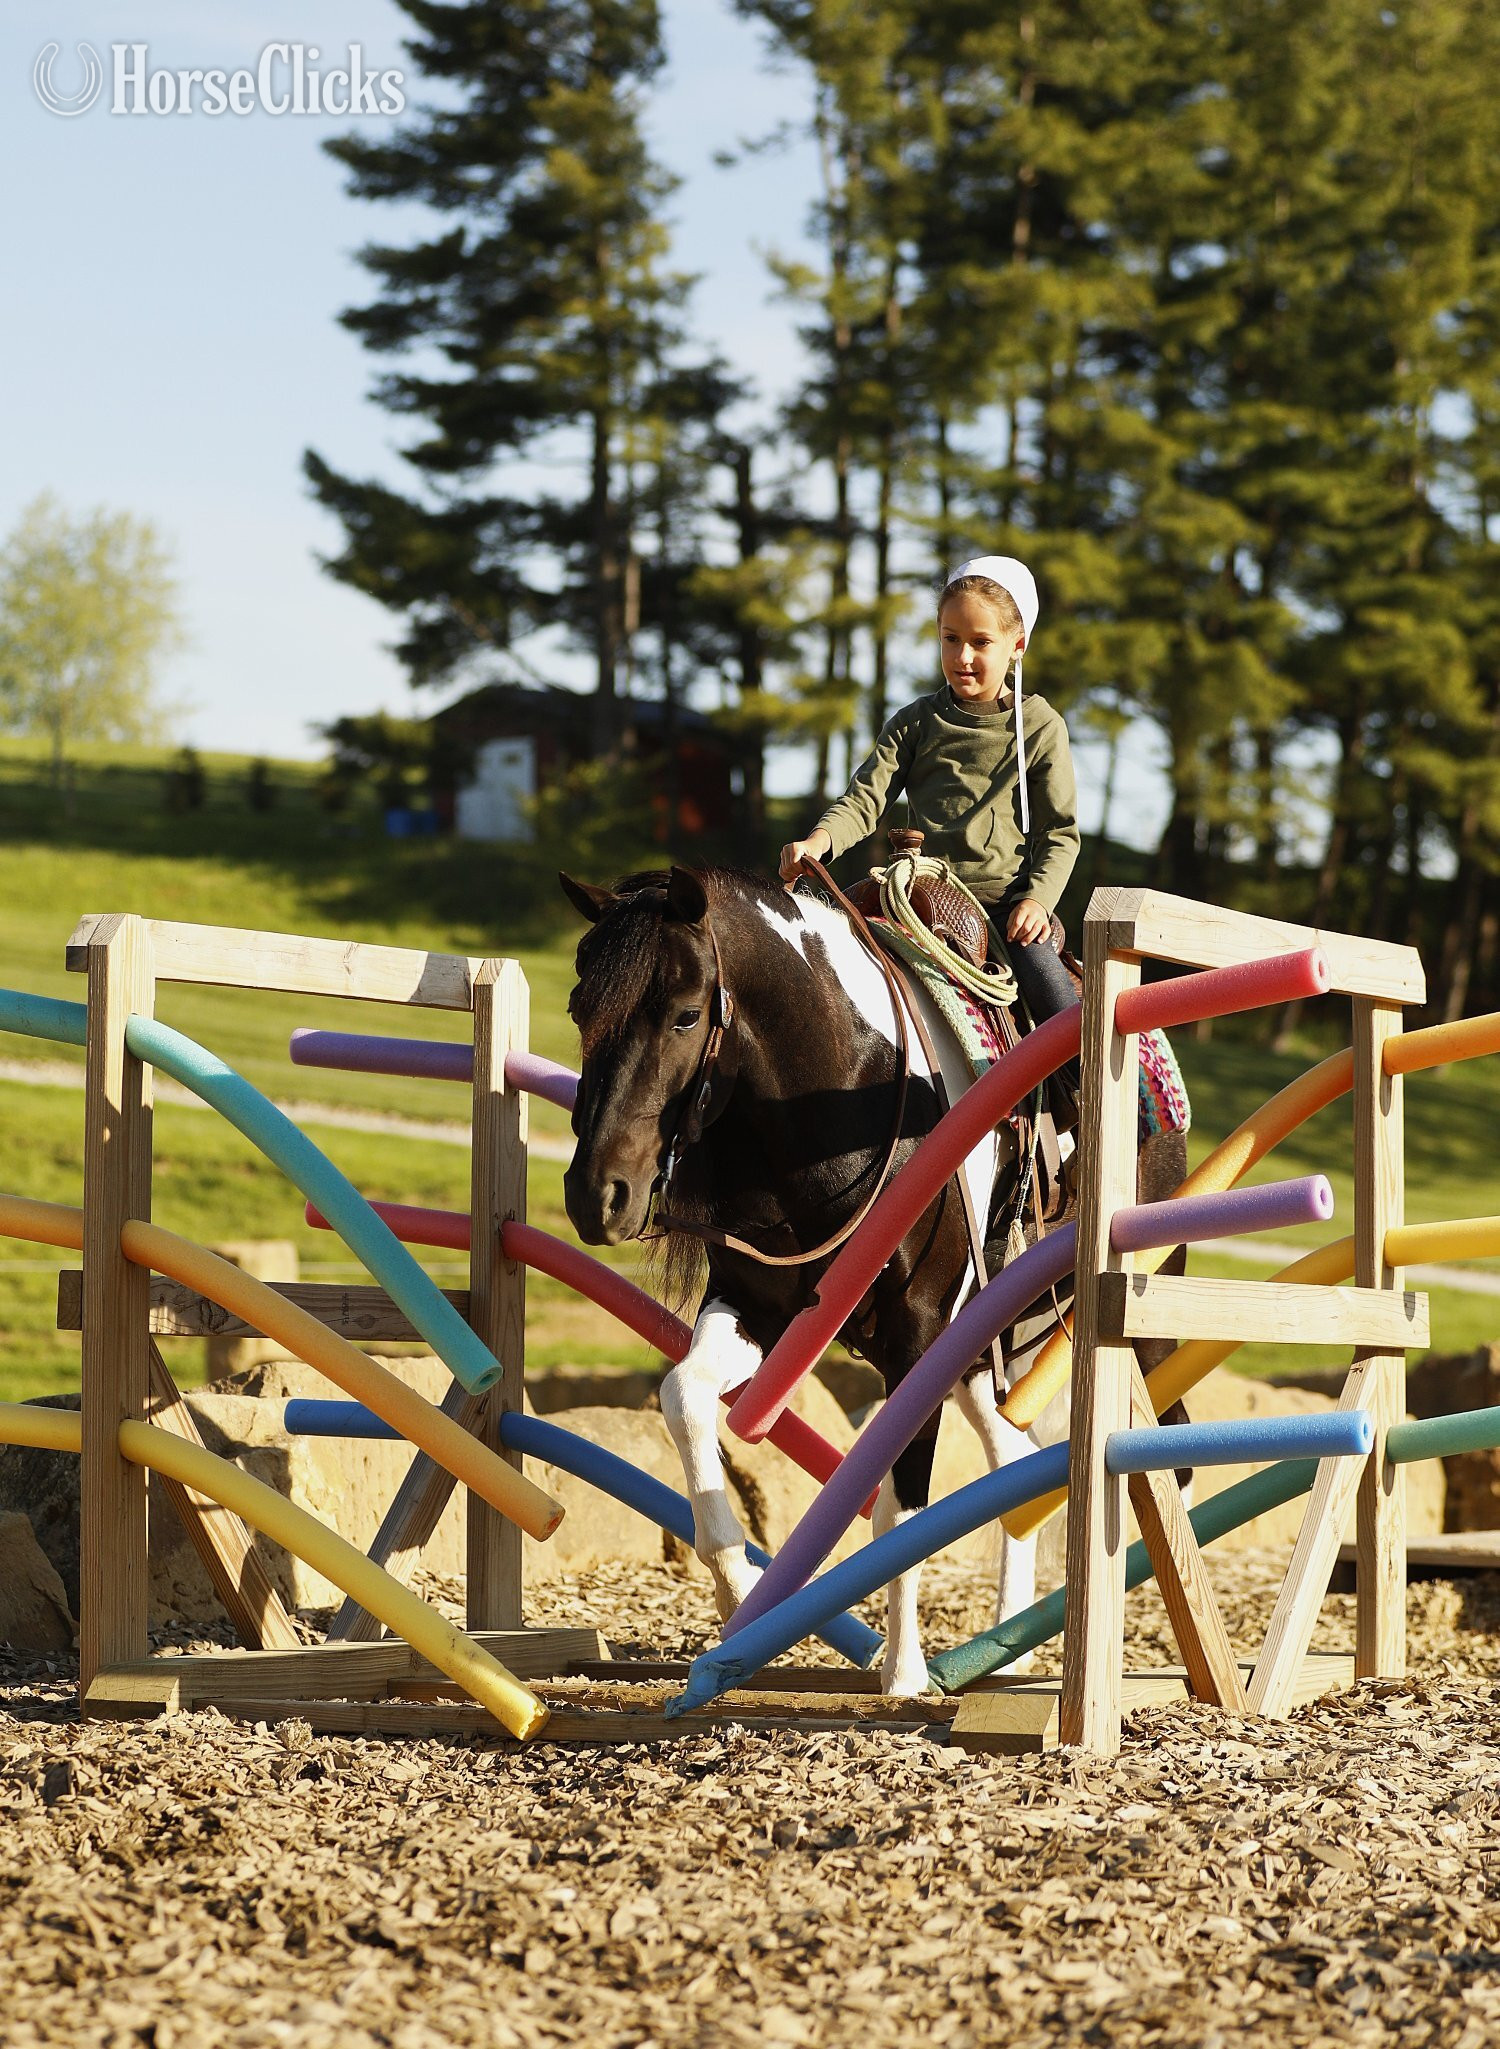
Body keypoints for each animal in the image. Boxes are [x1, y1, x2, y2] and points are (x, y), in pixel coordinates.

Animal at [560, 861, 1187, 1695]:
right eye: (579, 1007)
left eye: (687, 1014)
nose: (596, 1194)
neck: (836, 1096)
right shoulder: (760, 1304)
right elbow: (684, 1396)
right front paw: (734, 1587)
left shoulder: (916, 1330)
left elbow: (900, 1505)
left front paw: (904, 1669)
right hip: (979, 1344)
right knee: (1012, 1455)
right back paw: (1007, 1640)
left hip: (1135, 1317)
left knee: (1170, 1450)